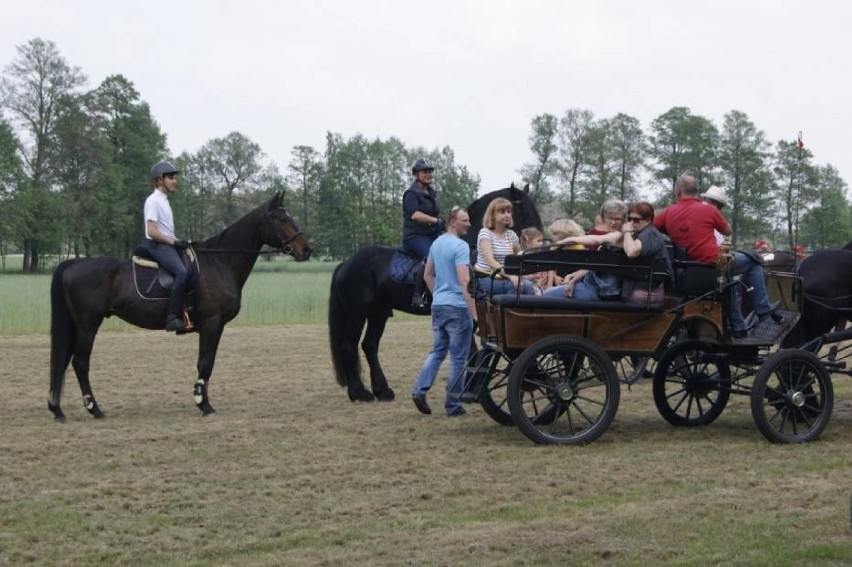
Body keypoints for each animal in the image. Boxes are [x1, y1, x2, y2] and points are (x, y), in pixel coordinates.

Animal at [47, 193, 312, 420]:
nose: (307, 250)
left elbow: (207, 362)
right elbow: (205, 362)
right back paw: (94, 409)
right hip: (88, 324)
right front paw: (203, 404)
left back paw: (57, 408)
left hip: (77, 325)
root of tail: (72, 264)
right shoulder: (211, 322)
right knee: (80, 363)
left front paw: (203, 400)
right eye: (281, 219)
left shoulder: (214, 326)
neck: (219, 261)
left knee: (64, 361)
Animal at [330, 184, 544, 402]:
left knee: (370, 345)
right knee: (348, 345)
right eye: (522, 210)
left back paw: (382, 391)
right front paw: (470, 388)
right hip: (357, 312)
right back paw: (358, 392)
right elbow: (471, 351)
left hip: (378, 312)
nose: (537, 243)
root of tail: (346, 263)